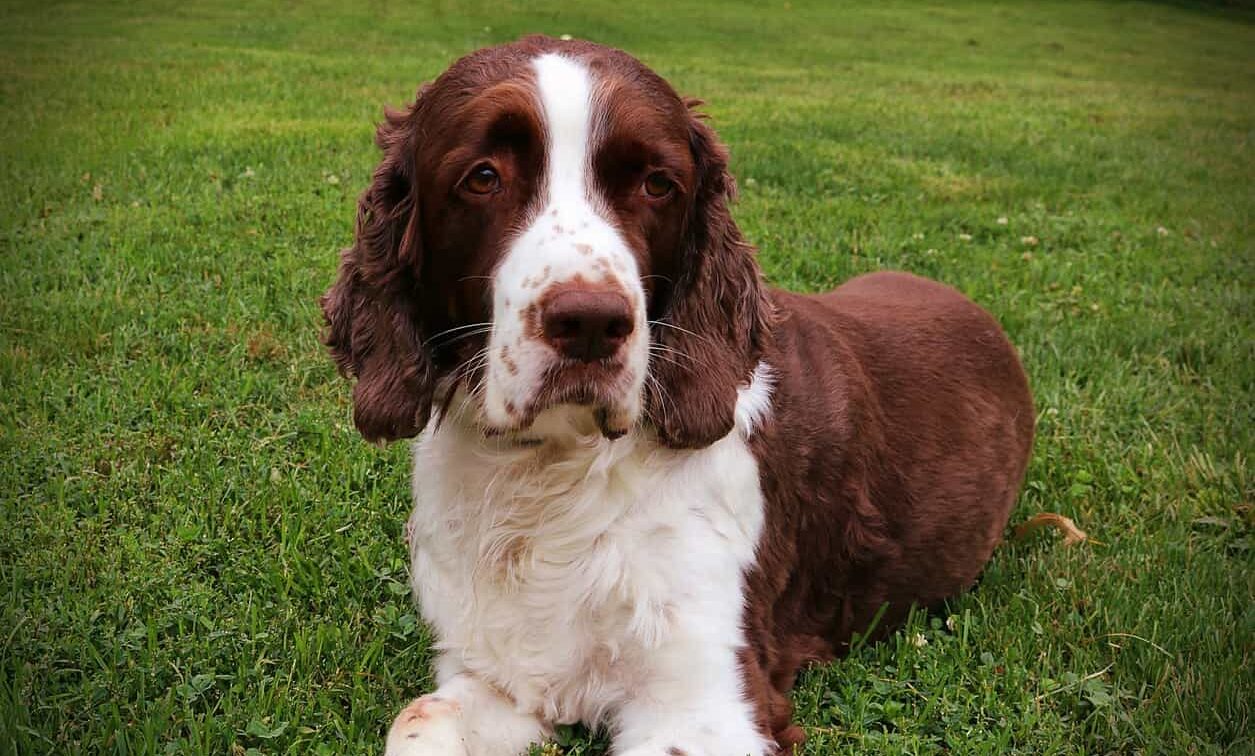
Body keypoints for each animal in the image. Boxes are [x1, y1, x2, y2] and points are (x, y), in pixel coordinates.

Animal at [318, 33, 1034, 753]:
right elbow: (419, 719)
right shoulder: (490, 671)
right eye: (483, 177)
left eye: (657, 184)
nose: (590, 323)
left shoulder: (705, 699)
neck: (553, 475)